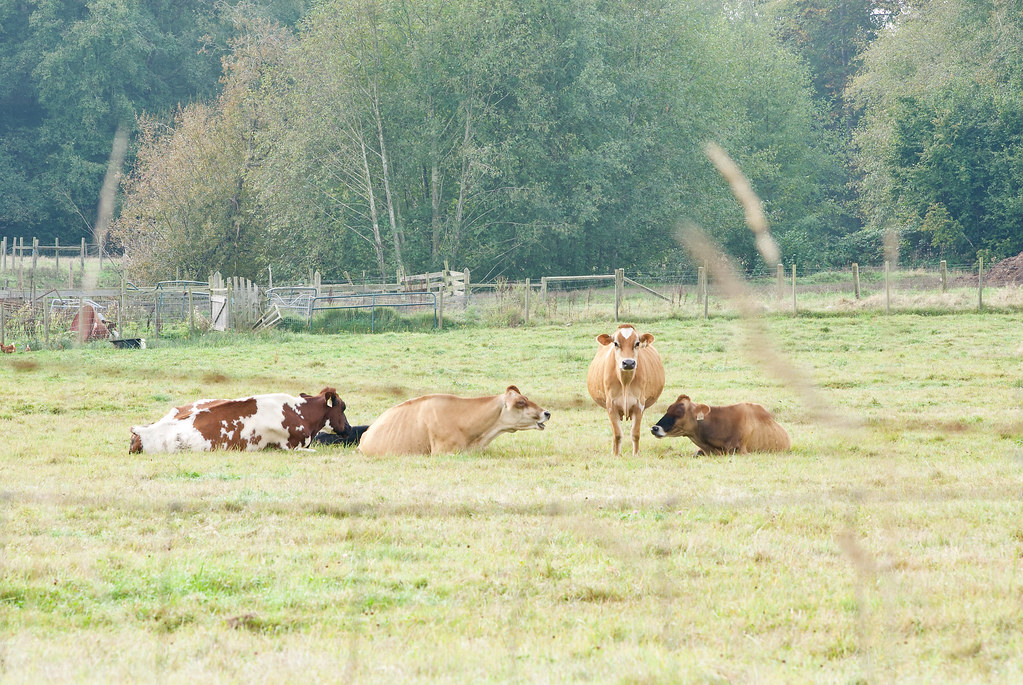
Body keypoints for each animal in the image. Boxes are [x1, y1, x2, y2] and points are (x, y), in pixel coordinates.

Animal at [587, 324, 665, 457]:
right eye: (616, 343)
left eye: (637, 343)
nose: (628, 363)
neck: (625, 382)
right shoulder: (611, 405)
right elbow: (617, 434)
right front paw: (616, 455)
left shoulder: (639, 405)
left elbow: (635, 434)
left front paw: (636, 454)